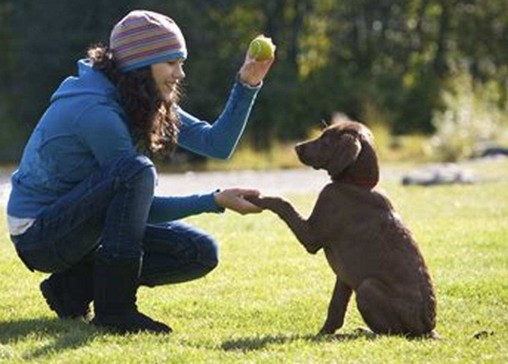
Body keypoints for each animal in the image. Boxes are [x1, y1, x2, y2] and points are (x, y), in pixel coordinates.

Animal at [249, 121, 436, 336]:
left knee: (392, 332)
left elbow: (283, 203)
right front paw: (324, 333)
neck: (357, 184)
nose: (296, 147)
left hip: (367, 288)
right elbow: (335, 308)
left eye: (325, 139)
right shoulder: (344, 277)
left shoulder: (312, 234)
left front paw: (257, 198)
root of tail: (428, 329)